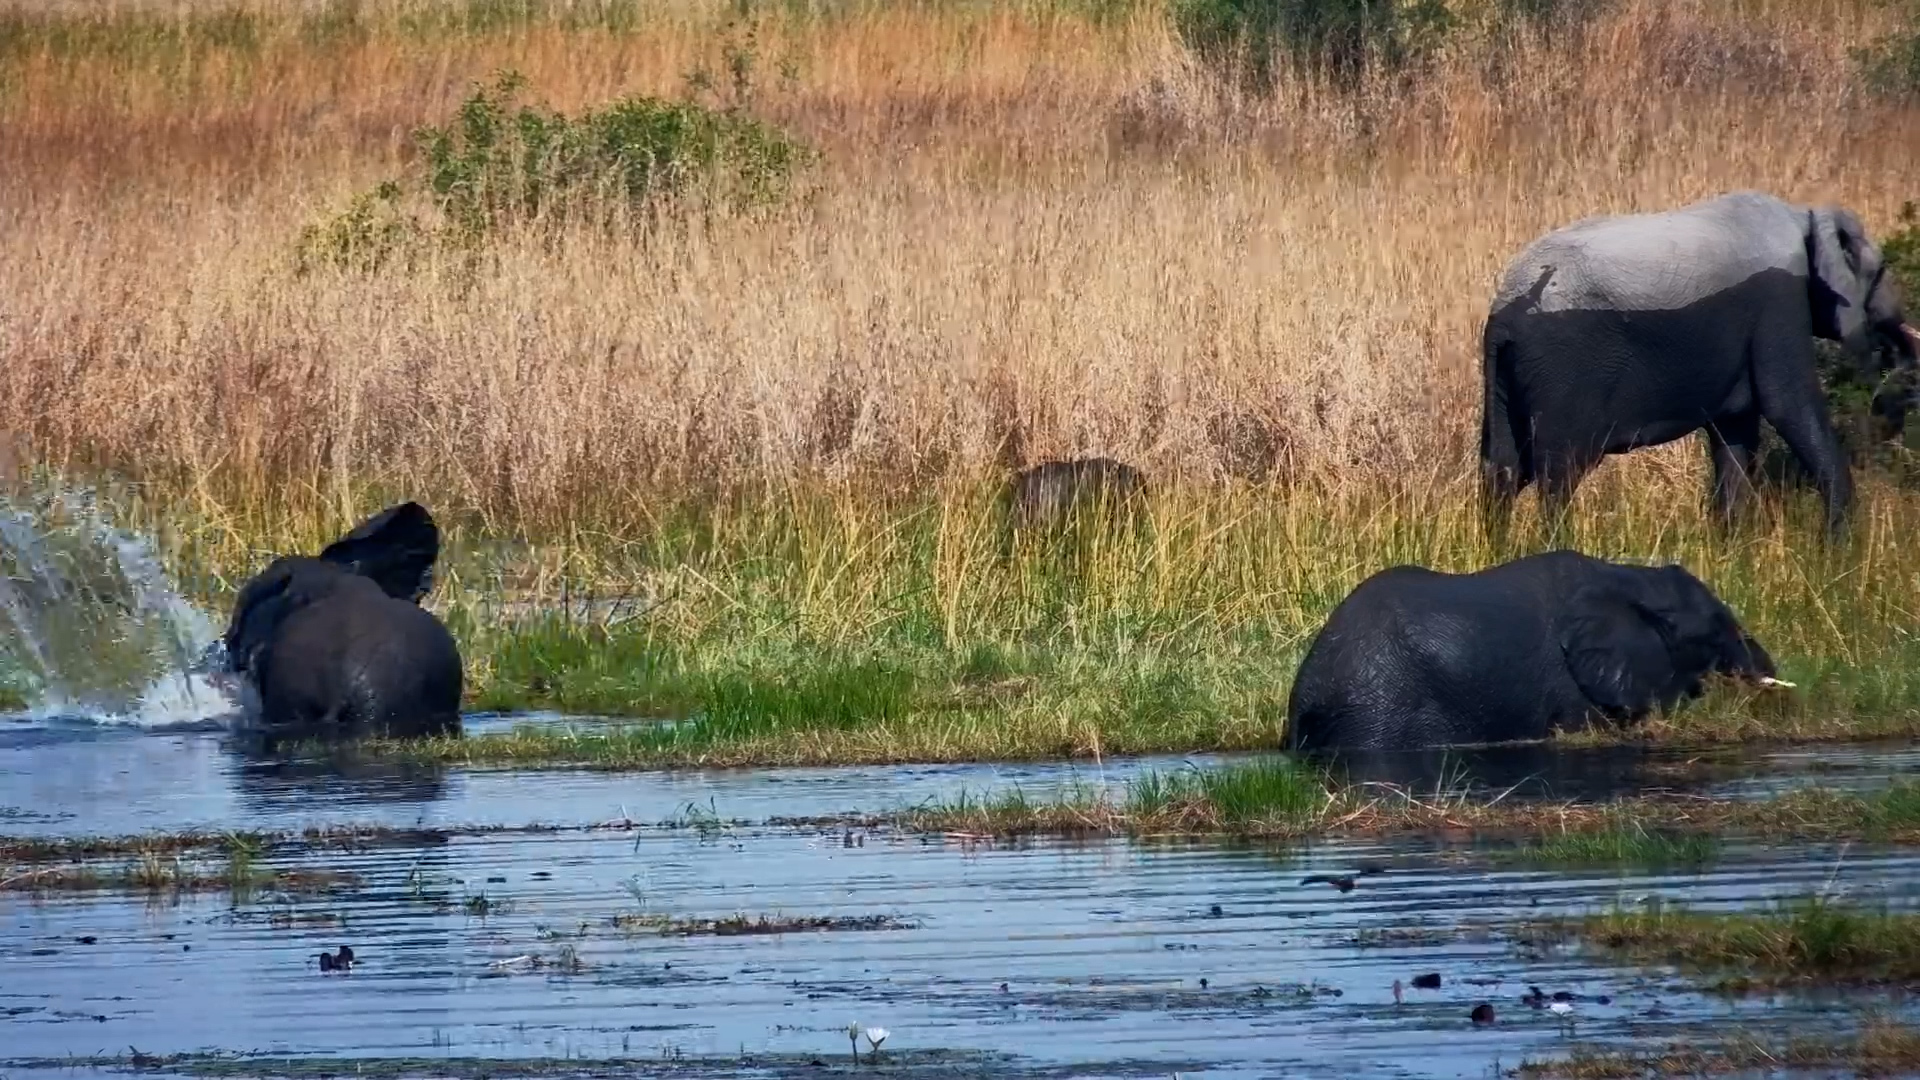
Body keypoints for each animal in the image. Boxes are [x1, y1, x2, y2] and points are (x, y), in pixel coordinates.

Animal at [1480, 189, 1919, 536]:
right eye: (1881, 270)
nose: (1893, 355)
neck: (1804, 215)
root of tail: (1506, 312)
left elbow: (1736, 433)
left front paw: (1733, 556)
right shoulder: (1778, 302)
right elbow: (1786, 404)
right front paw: (1839, 558)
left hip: (1505, 374)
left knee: (1503, 468)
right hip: (1564, 369)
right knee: (1558, 473)